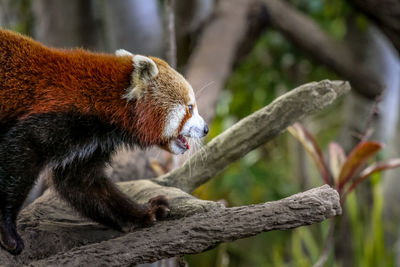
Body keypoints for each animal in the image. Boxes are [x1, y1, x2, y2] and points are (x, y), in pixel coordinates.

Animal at [0, 28, 208, 255]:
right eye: (190, 108)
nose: (206, 129)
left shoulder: (88, 143)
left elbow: (81, 183)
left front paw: (143, 213)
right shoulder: (56, 117)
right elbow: (22, 152)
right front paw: (7, 231)